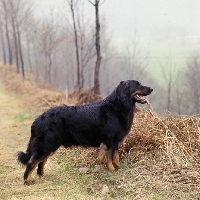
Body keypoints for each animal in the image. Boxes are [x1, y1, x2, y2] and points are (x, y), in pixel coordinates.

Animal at [18, 79, 153, 184]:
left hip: (50, 145)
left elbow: (115, 157)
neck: (117, 106)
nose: (151, 88)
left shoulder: (115, 142)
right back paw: (27, 180)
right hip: (46, 144)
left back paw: (42, 175)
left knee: (41, 161)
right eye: (138, 84)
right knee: (32, 162)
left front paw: (118, 167)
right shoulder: (109, 141)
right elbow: (109, 158)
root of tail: (38, 120)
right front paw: (112, 170)